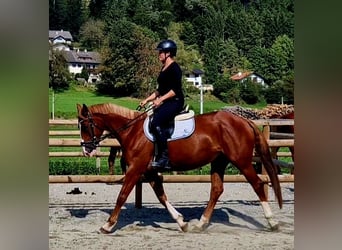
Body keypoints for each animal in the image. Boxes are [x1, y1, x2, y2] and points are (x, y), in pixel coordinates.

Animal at [77, 102, 284, 233]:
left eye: (86, 126)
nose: (86, 150)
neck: (132, 131)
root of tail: (243, 121)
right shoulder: (149, 171)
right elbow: (161, 196)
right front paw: (181, 222)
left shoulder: (135, 169)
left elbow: (122, 195)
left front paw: (108, 225)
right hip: (219, 162)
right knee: (216, 189)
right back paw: (200, 224)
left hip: (241, 161)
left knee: (257, 185)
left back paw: (273, 222)